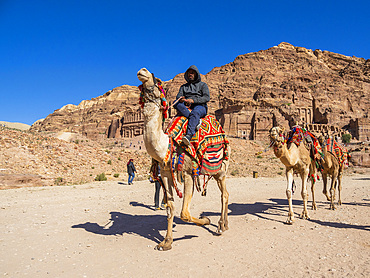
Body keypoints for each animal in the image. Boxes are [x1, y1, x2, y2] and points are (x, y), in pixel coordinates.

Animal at [137, 68, 228, 251]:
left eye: (157, 80)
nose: (143, 71)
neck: (166, 146)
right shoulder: (166, 175)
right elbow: (170, 208)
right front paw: (166, 242)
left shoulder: (187, 173)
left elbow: (184, 213)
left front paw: (206, 220)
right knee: (226, 194)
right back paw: (225, 224)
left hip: (220, 169)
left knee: (224, 195)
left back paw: (221, 226)